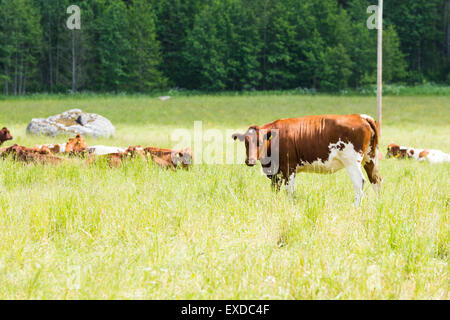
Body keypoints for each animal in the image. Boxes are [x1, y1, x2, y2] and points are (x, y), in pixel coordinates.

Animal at [232, 114, 384, 206]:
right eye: (246, 142)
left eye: (260, 141)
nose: (250, 161)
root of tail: (361, 117)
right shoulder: (276, 173)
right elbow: (275, 189)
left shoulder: (289, 168)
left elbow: (289, 190)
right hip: (370, 159)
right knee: (376, 179)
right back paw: (378, 205)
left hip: (352, 162)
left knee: (360, 182)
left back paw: (356, 206)